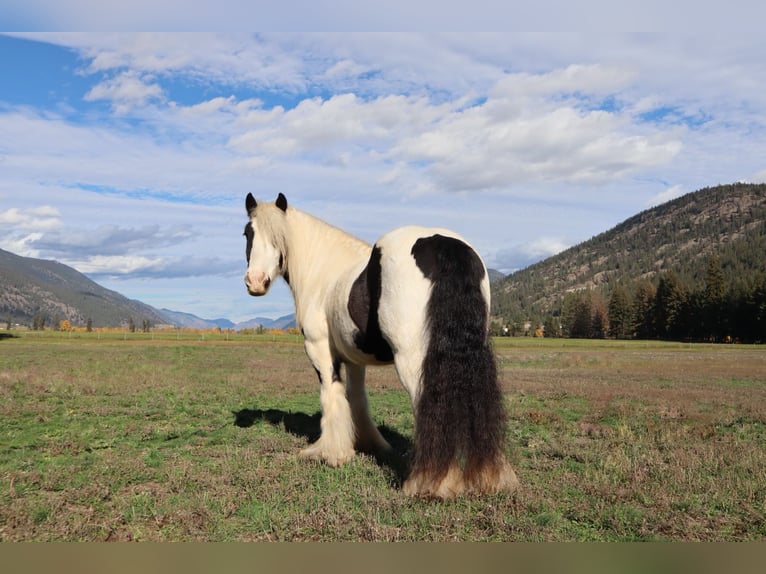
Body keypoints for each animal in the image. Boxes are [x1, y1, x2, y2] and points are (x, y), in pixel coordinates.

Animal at [244, 192, 520, 500]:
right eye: (248, 233)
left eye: (278, 237)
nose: (255, 282)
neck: (325, 274)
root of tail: (445, 244)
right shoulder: (354, 358)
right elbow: (356, 398)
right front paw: (368, 443)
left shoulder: (320, 350)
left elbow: (331, 396)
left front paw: (331, 454)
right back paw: (488, 476)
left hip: (413, 361)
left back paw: (430, 482)